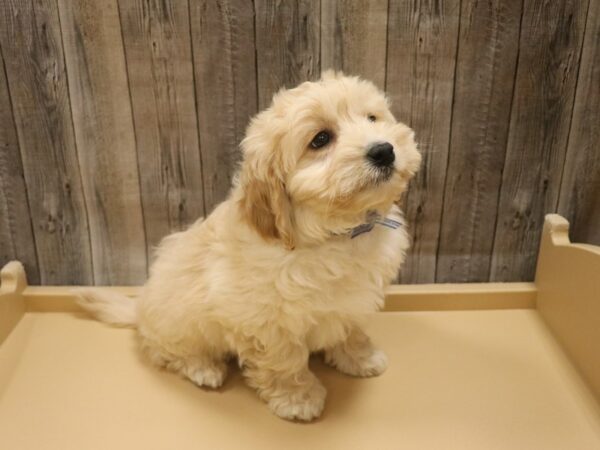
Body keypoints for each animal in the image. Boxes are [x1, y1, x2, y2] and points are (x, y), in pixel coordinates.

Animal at [77, 71, 420, 422]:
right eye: (321, 139)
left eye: (372, 118)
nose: (384, 150)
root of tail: (139, 308)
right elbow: (284, 360)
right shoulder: (264, 321)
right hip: (177, 322)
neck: (338, 233)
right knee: (164, 350)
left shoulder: (353, 301)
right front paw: (297, 398)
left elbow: (351, 330)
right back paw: (203, 368)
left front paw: (361, 358)